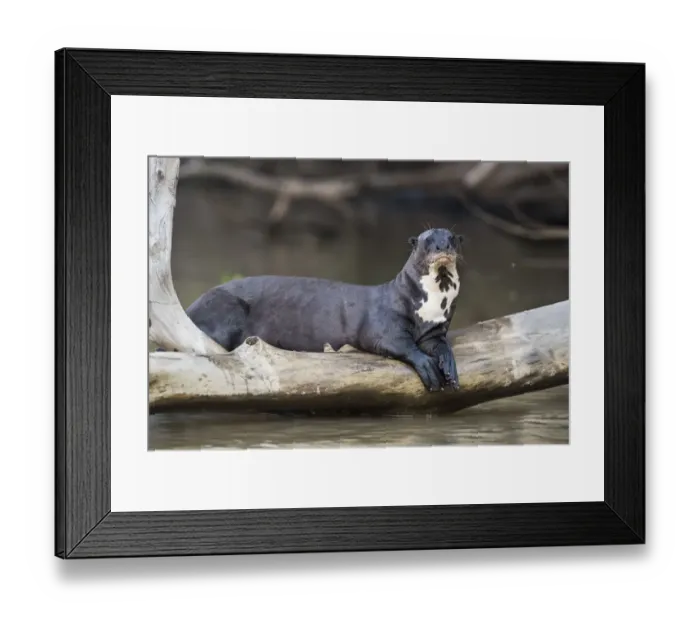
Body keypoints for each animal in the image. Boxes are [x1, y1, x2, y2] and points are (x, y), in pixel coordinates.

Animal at [185, 228, 464, 392]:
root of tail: (192, 306)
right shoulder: (383, 325)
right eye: (428, 241)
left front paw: (448, 363)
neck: (431, 305)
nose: (442, 247)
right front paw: (426, 365)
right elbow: (398, 343)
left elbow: (439, 344)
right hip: (224, 307)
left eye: (451, 238)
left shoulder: (435, 328)